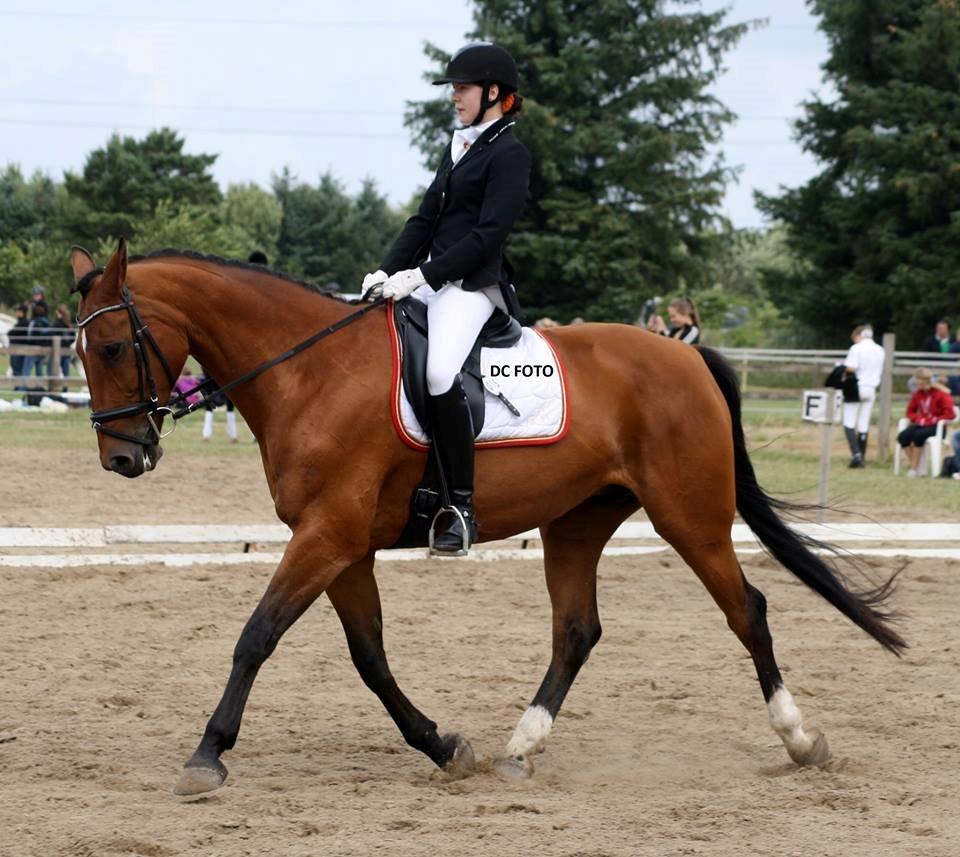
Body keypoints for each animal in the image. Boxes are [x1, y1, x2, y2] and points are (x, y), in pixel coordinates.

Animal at [71, 241, 904, 796]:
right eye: (80, 348)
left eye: (111, 345)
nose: (121, 457)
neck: (309, 371)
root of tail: (688, 356)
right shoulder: (343, 544)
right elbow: (370, 657)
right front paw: (445, 746)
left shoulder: (328, 535)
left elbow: (257, 635)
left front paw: (206, 755)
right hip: (577, 522)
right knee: (577, 630)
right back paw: (520, 744)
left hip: (690, 515)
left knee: (747, 610)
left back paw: (800, 739)